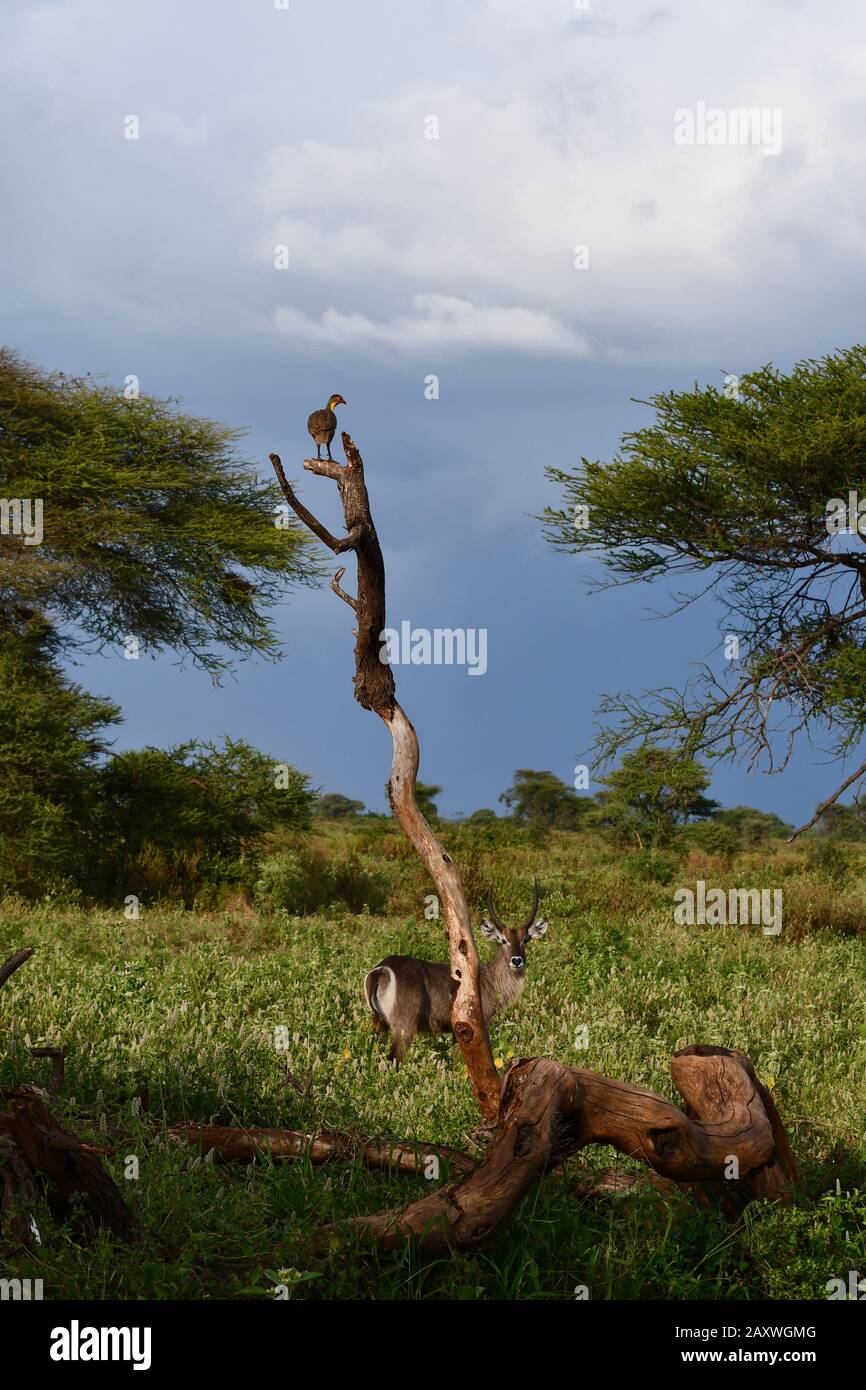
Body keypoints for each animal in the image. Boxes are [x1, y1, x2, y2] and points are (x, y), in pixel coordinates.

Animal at [366, 878, 547, 1061]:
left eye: (526, 939)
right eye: (503, 940)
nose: (516, 960)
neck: (489, 979)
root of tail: (382, 969)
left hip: (379, 1023)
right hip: (404, 1026)